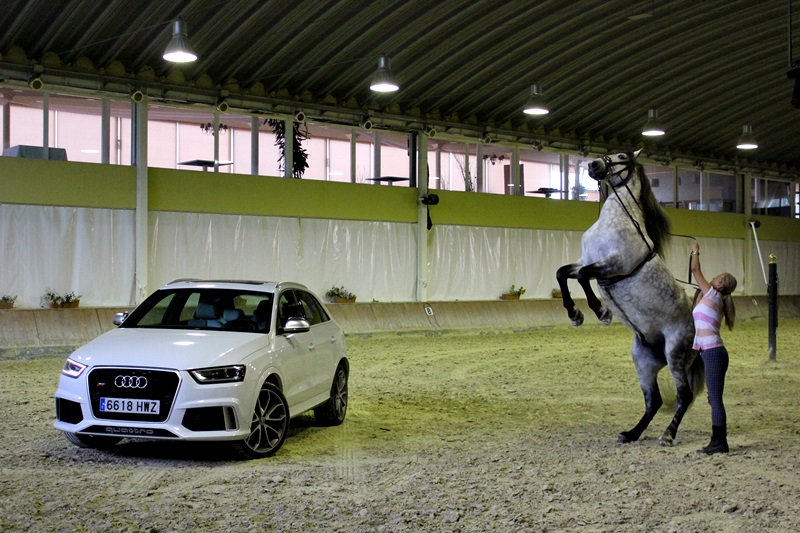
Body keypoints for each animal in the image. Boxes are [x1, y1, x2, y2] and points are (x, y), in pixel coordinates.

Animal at [560, 150, 704, 444]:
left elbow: (583, 278)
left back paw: (667, 436)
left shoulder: (614, 264)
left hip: (675, 355)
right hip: (644, 362)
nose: (593, 165)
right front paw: (575, 315)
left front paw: (601, 312)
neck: (617, 222)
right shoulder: (585, 260)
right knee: (654, 401)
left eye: (621, 156)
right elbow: (563, 274)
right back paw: (630, 434)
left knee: (683, 397)